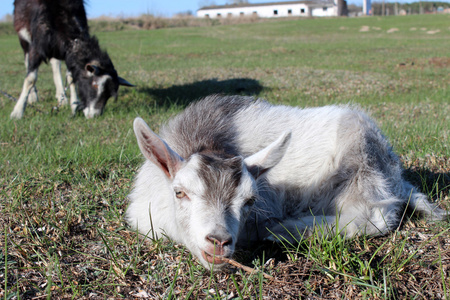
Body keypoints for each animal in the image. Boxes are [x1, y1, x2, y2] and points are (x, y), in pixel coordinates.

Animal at [125, 94, 446, 270]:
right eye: (180, 193)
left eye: (249, 200)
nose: (219, 241)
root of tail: (394, 173)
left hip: (360, 164)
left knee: (376, 216)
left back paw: (285, 230)